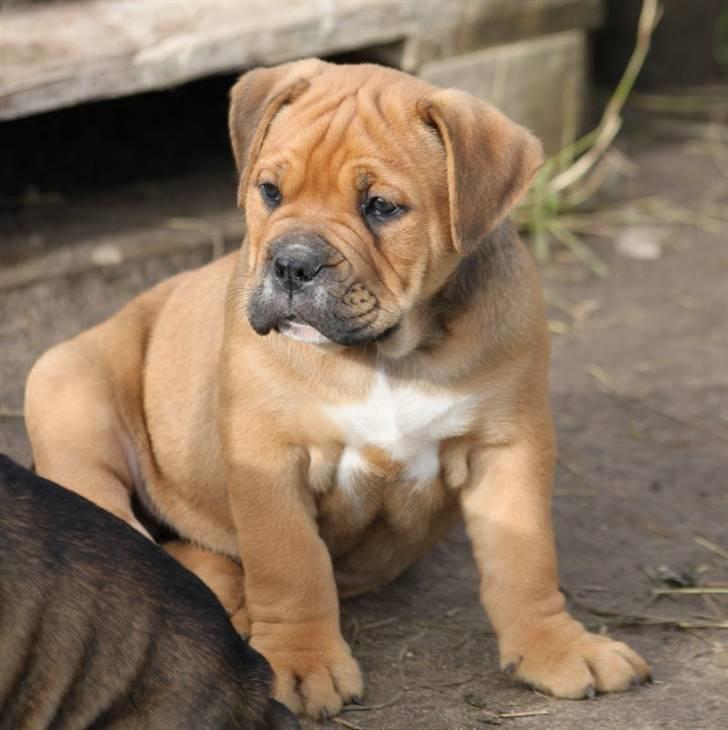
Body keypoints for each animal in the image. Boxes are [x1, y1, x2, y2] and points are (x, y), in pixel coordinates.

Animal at [24, 58, 648, 716]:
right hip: (65, 389)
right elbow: (291, 562)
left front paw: (556, 646)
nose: (292, 263)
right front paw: (301, 663)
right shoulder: (267, 455)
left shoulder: (508, 447)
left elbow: (526, 557)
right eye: (270, 192)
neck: (386, 355)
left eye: (382, 207)